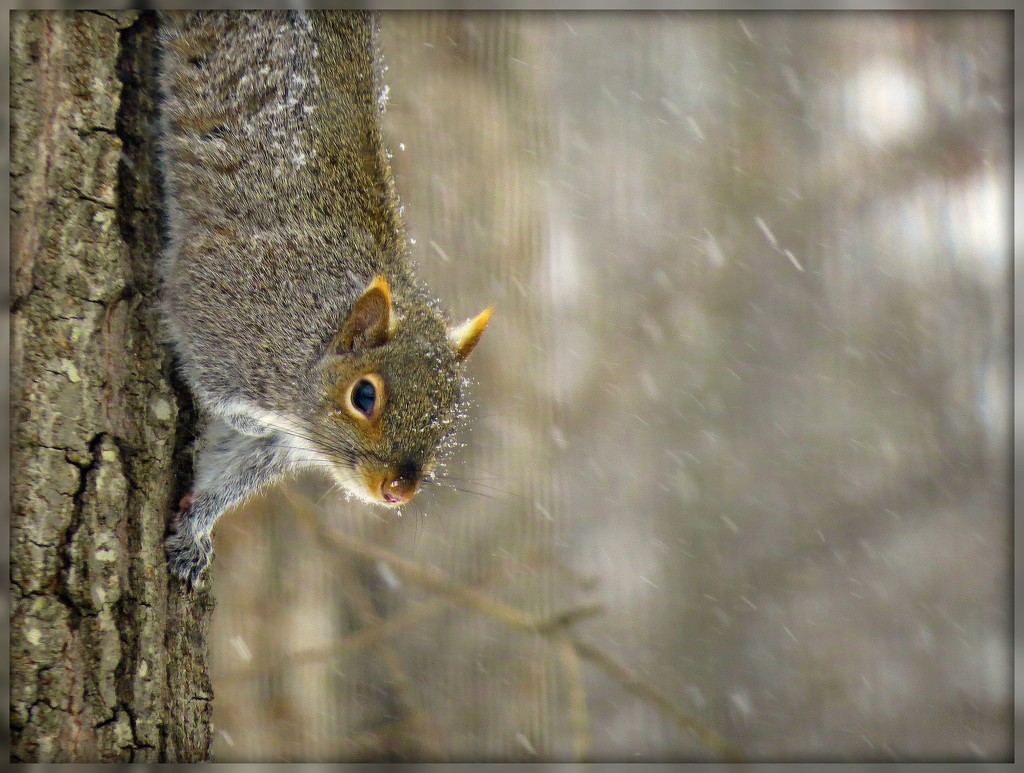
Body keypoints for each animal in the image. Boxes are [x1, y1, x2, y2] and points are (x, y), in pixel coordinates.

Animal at [158, 9, 491, 585]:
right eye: (364, 396)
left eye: (450, 415)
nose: (398, 491)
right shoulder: (219, 306)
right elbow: (210, 380)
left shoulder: (272, 448)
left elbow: (227, 475)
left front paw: (194, 531)